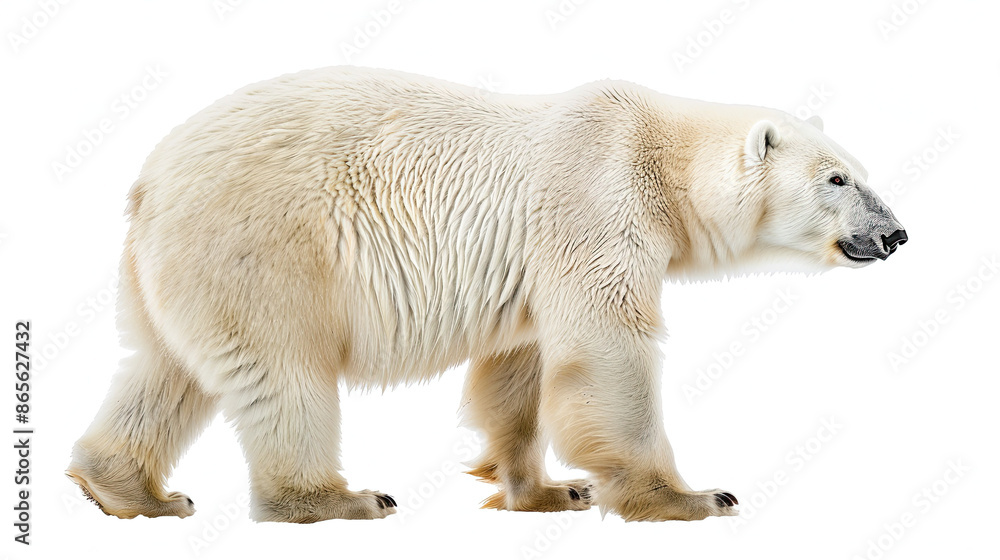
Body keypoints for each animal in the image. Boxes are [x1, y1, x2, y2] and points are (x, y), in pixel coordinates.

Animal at [67, 66, 906, 523]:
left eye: (862, 170)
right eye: (838, 179)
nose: (897, 234)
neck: (659, 158)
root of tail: (148, 178)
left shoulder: (538, 262)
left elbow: (519, 365)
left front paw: (549, 490)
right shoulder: (596, 200)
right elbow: (608, 349)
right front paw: (687, 496)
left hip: (177, 265)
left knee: (162, 369)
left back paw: (130, 490)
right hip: (262, 243)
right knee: (283, 372)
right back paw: (340, 498)